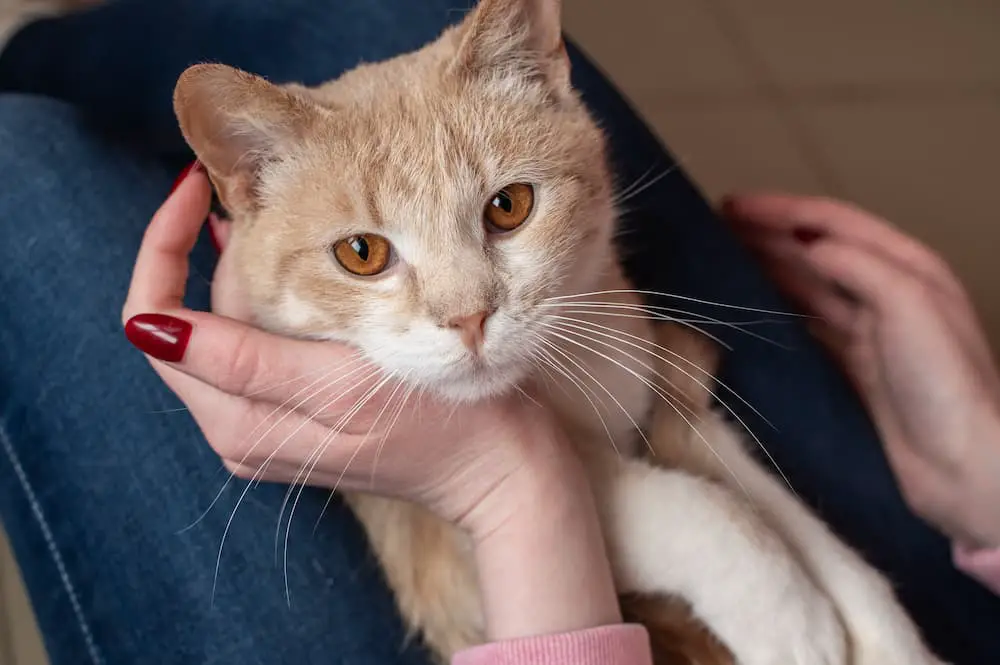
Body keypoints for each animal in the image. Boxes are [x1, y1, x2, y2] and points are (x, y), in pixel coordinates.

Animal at [176, 0, 948, 660]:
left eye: (509, 206)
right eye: (360, 253)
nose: (469, 316)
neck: (564, 380)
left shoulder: (671, 386)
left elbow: (783, 511)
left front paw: (882, 631)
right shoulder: (446, 556)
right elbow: (694, 507)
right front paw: (789, 615)